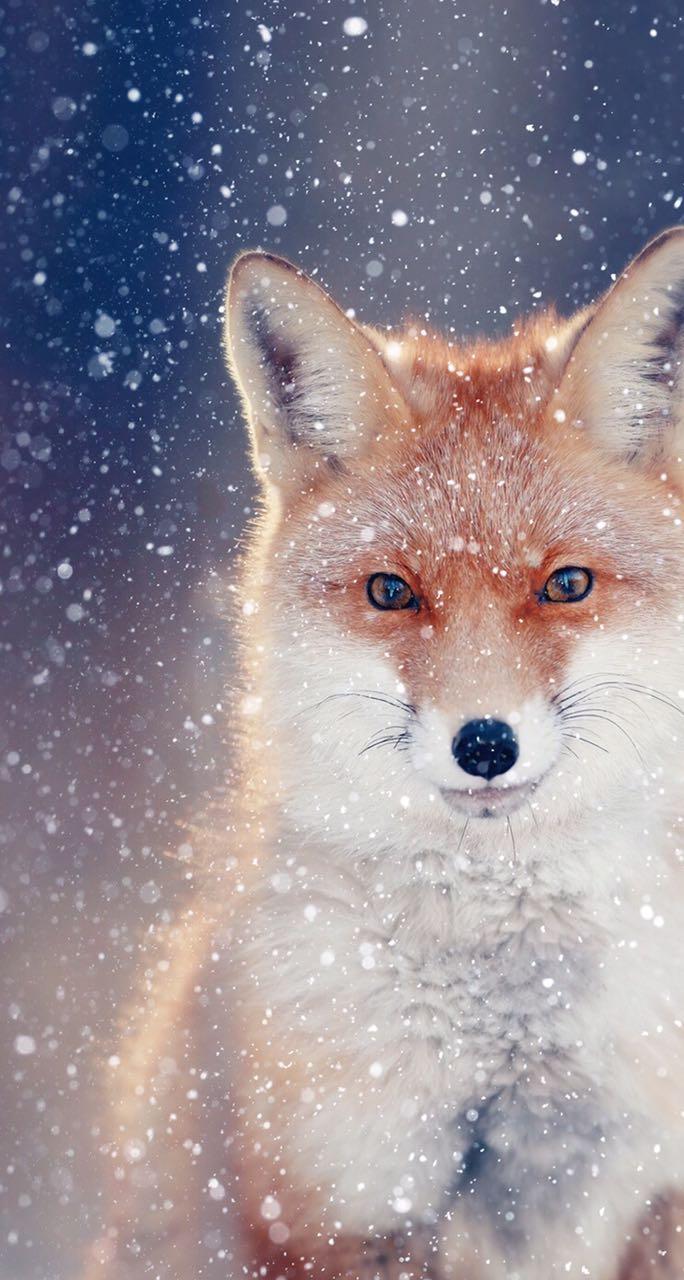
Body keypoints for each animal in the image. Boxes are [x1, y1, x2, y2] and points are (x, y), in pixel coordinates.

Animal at [85, 227, 684, 1280]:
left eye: (567, 584)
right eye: (391, 592)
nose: (485, 744)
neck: (505, 1023)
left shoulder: (633, 1187)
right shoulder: (329, 1208)